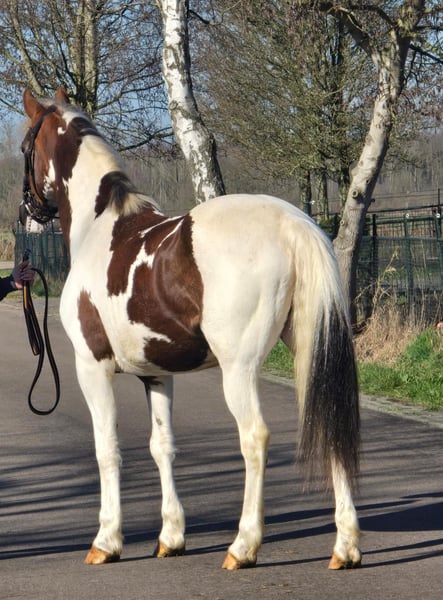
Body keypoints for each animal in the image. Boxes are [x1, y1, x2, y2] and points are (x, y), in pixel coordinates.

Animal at [20, 88, 361, 570]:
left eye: (24, 148)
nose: (27, 212)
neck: (102, 229)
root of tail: (292, 224)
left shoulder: (92, 367)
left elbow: (107, 449)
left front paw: (106, 541)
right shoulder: (157, 374)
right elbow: (162, 446)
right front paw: (171, 537)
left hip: (238, 369)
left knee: (255, 438)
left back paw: (243, 546)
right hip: (311, 353)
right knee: (331, 425)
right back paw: (345, 547)